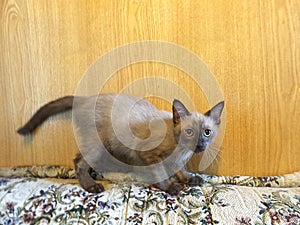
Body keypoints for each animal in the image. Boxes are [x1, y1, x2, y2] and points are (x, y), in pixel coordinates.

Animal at [16, 93, 223, 195]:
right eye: (189, 132)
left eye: (207, 132)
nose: (200, 145)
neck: (181, 150)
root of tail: (86, 99)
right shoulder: (149, 156)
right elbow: (161, 174)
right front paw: (171, 187)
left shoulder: (177, 161)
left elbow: (180, 170)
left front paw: (189, 179)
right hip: (98, 145)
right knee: (78, 162)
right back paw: (92, 187)